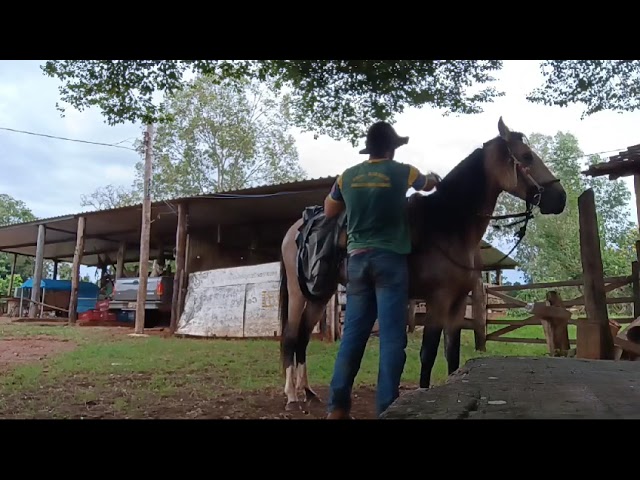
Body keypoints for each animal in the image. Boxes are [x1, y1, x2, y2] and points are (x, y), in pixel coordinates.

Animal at [278, 118, 568, 410]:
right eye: (527, 156)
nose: (560, 197)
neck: (447, 226)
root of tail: (296, 229)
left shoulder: (457, 304)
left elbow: (452, 354)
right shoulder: (437, 301)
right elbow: (428, 353)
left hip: (320, 294)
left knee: (303, 337)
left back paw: (307, 392)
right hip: (298, 294)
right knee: (291, 337)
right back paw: (291, 396)